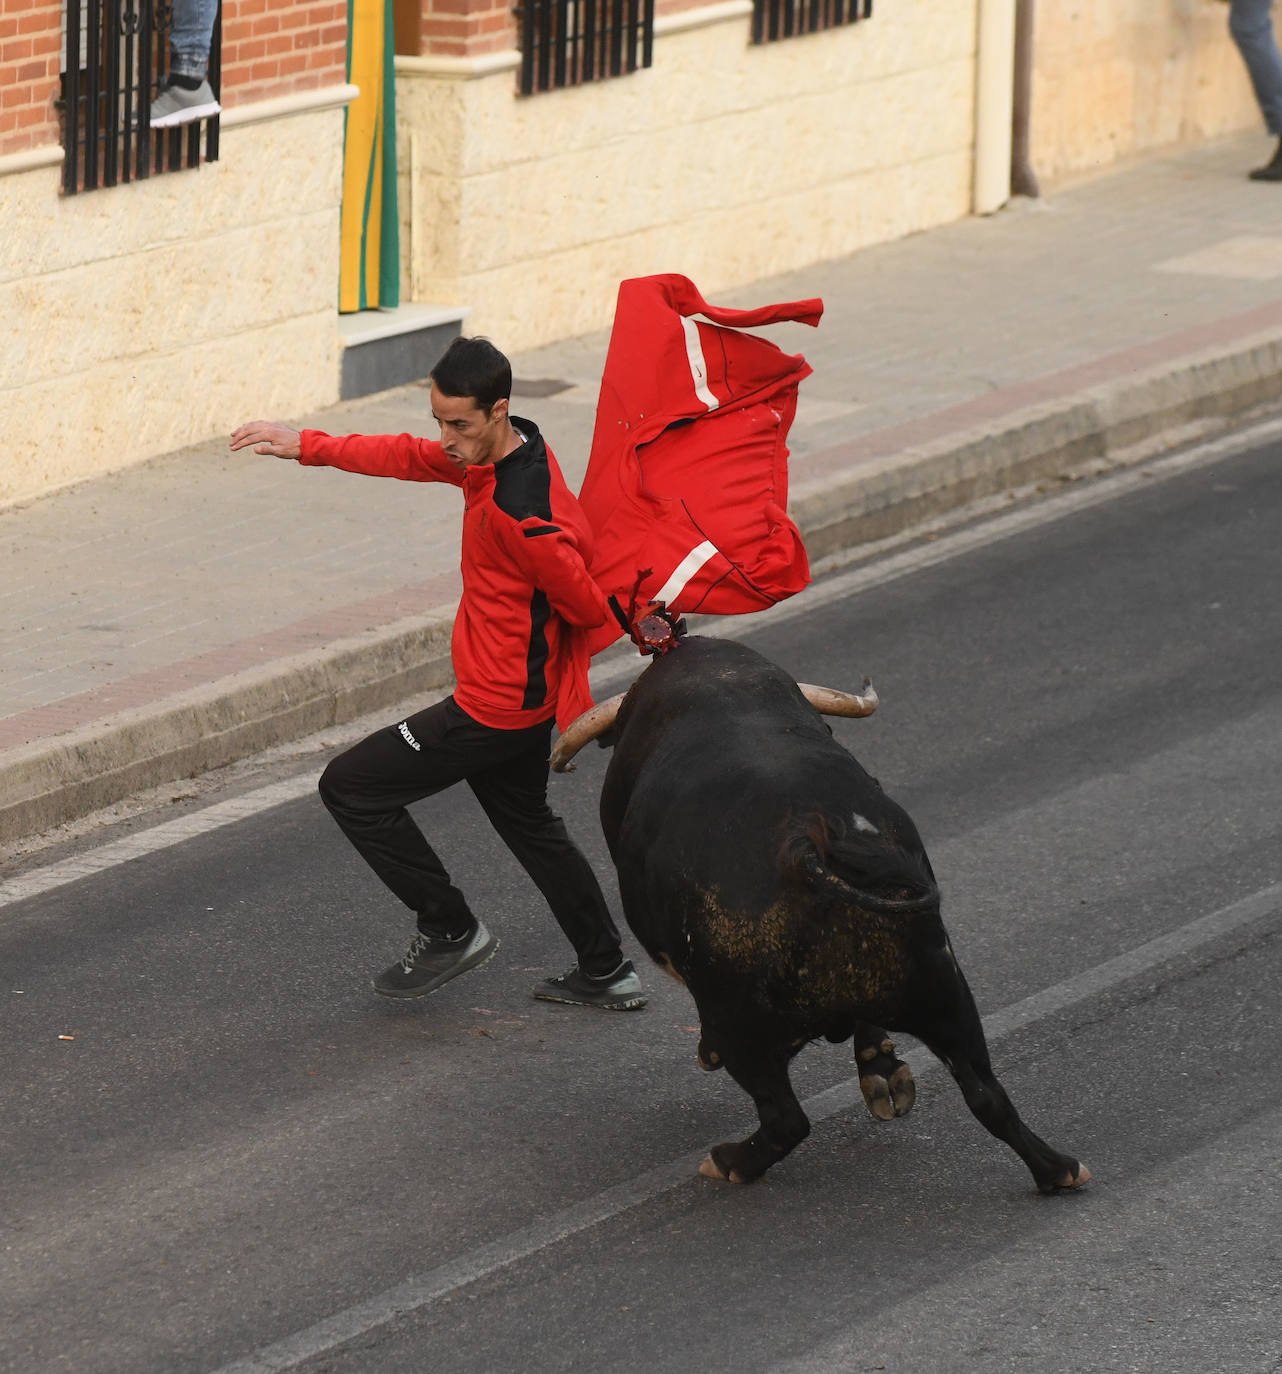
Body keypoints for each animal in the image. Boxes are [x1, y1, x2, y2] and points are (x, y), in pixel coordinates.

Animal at [552, 634, 1088, 1192]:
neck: (721, 690)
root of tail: (805, 842)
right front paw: (881, 1069)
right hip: (944, 990)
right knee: (985, 1091)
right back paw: (1057, 1168)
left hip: (746, 1031)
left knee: (785, 1118)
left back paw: (728, 1159)